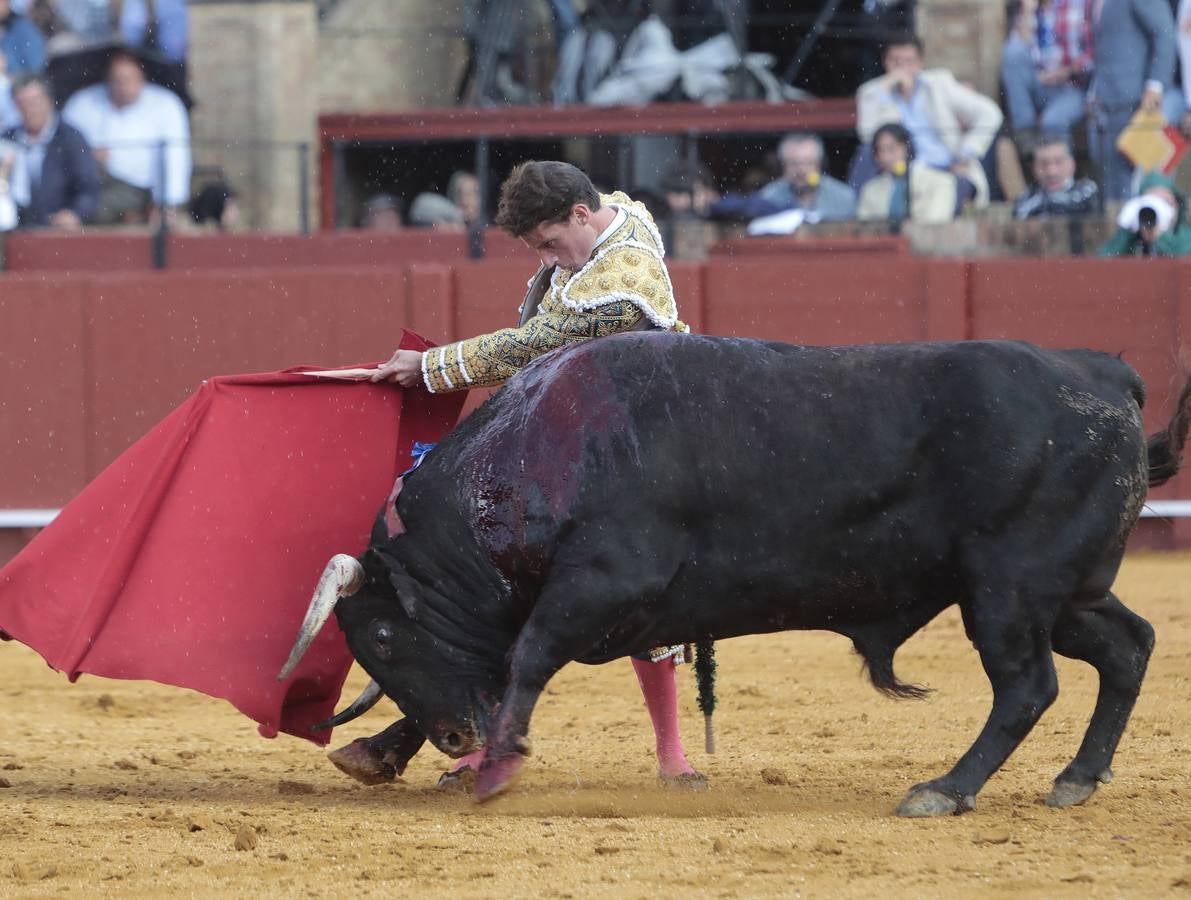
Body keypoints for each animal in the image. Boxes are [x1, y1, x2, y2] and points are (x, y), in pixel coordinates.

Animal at [281, 333, 1191, 814]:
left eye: (384, 636)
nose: (456, 740)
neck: (538, 458)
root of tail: (1102, 375)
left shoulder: (600, 584)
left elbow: (524, 659)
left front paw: (497, 768)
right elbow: (496, 668)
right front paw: (392, 751)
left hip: (1007, 589)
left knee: (1028, 685)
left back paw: (943, 788)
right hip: (1062, 591)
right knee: (1127, 645)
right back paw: (1075, 779)